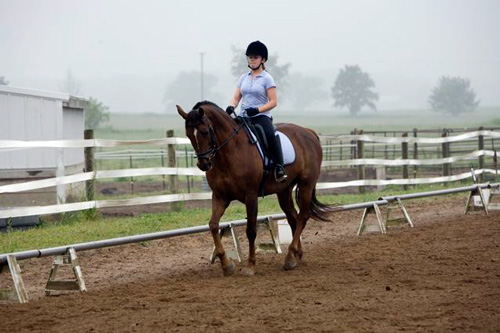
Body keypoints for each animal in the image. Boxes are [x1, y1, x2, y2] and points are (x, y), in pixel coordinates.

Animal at [176, 101, 332, 274]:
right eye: (188, 134)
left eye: (204, 131)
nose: (203, 164)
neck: (230, 151)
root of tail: (308, 132)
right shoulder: (220, 196)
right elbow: (213, 225)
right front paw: (226, 265)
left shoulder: (250, 195)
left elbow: (251, 230)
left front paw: (250, 265)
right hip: (283, 190)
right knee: (293, 217)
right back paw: (296, 255)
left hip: (306, 185)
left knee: (303, 217)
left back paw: (289, 257)